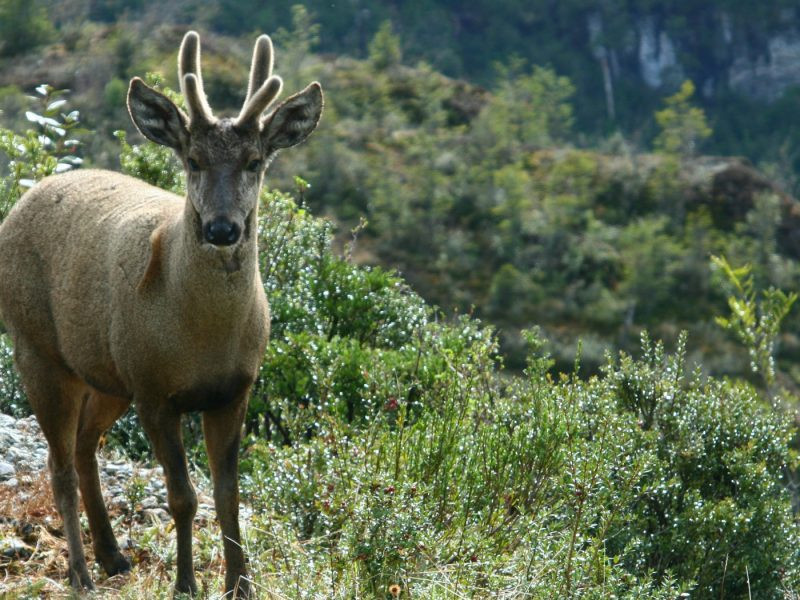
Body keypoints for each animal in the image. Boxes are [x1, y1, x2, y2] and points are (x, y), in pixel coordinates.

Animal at [0, 29, 322, 596]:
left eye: (255, 161)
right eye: (193, 159)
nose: (222, 228)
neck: (203, 337)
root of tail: (23, 199)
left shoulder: (234, 390)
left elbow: (227, 494)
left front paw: (241, 584)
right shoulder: (154, 391)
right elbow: (183, 496)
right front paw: (186, 583)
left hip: (107, 374)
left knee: (83, 447)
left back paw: (113, 557)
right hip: (37, 348)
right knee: (59, 465)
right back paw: (80, 572)